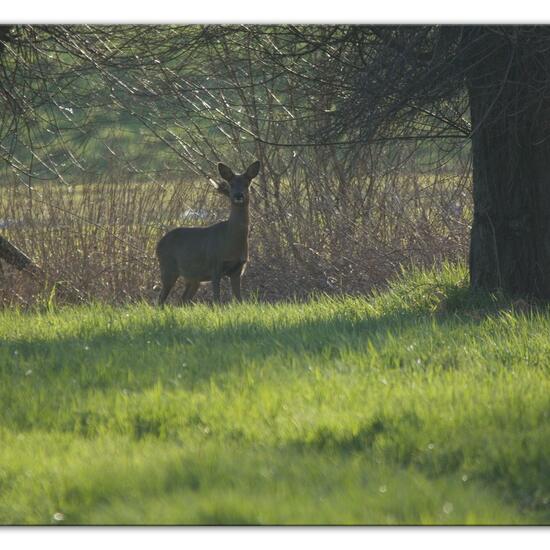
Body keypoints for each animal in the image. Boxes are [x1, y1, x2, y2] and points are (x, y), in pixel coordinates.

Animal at [156, 160, 262, 306]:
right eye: (231, 183)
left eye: (247, 183)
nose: (238, 195)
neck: (230, 240)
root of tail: (157, 245)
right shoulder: (215, 265)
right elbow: (217, 299)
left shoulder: (238, 269)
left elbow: (240, 300)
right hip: (168, 268)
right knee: (160, 300)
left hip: (193, 278)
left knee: (182, 300)